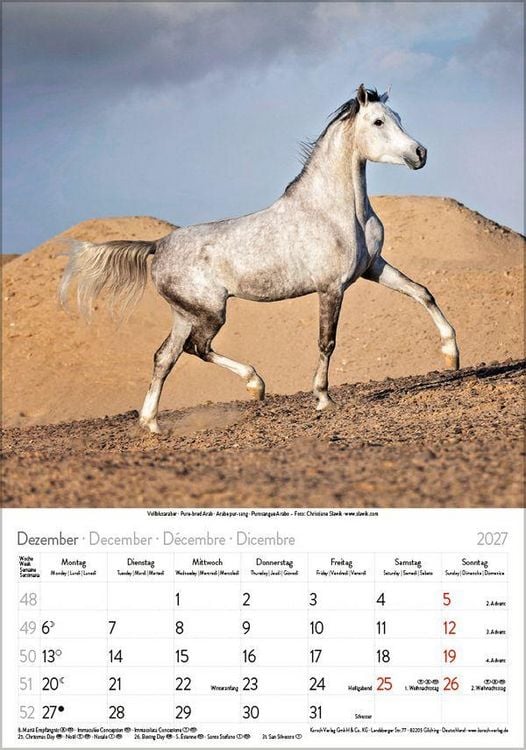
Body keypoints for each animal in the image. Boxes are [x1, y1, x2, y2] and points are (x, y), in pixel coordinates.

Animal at [60, 84, 459, 434]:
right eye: (378, 122)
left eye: (398, 117)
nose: (420, 153)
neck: (334, 211)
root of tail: (158, 245)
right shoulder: (331, 288)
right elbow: (326, 342)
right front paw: (323, 399)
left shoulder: (372, 268)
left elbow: (422, 292)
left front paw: (452, 355)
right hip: (210, 312)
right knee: (196, 349)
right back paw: (255, 385)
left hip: (185, 314)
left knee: (164, 358)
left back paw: (152, 424)